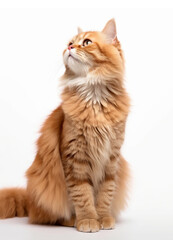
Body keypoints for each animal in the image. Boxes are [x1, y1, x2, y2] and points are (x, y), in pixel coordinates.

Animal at [0, 18, 130, 232]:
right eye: (70, 42)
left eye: (86, 42)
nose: (69, 47)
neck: (94, 96)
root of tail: (30, 200)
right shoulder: (74, 157)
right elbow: (82, 194)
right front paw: (88, 219)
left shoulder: (112, 158)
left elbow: (105, 193)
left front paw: (103, 218)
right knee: (51, 216)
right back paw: (72, 220)